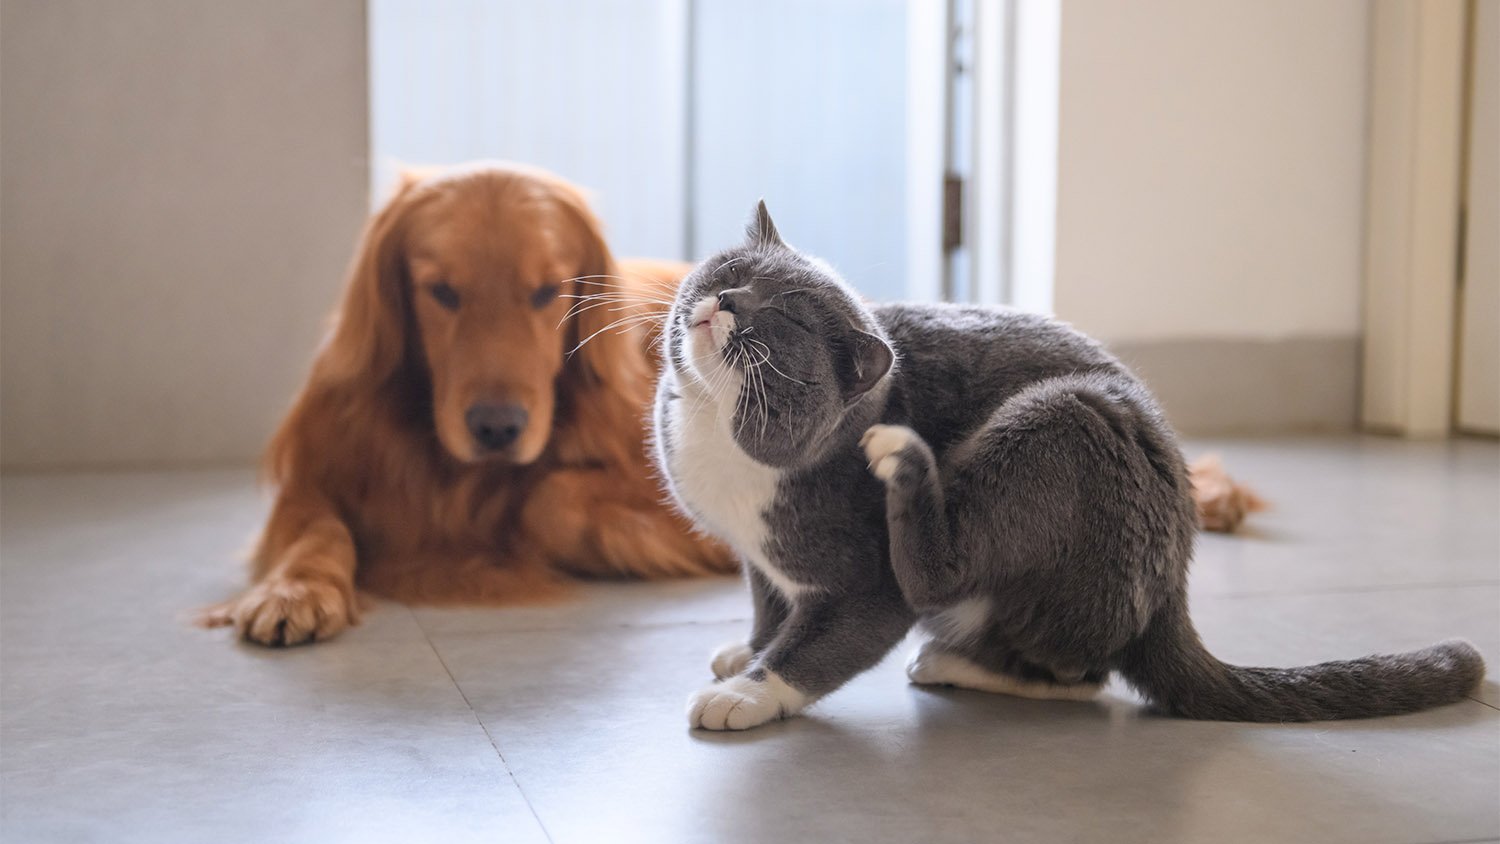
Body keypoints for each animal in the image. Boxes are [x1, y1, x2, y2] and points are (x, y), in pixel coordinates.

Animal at [204, 163, 732, 647]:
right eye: (441, 291)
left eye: (547, 291)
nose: (497, 429)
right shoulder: (316, 475)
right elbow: (316, 528)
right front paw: (295, 591)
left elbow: (548, 500)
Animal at [651, 202, 1482, 734]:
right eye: (732, 269)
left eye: (783, 317)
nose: (726, 300)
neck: (716, 433)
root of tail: (1175, 586)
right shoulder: (760, 559)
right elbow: (769, 609)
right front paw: (747, 652)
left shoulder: (861, 581)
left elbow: (825, 641)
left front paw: (748, 694)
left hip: (1061, 423)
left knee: (1064, 664)